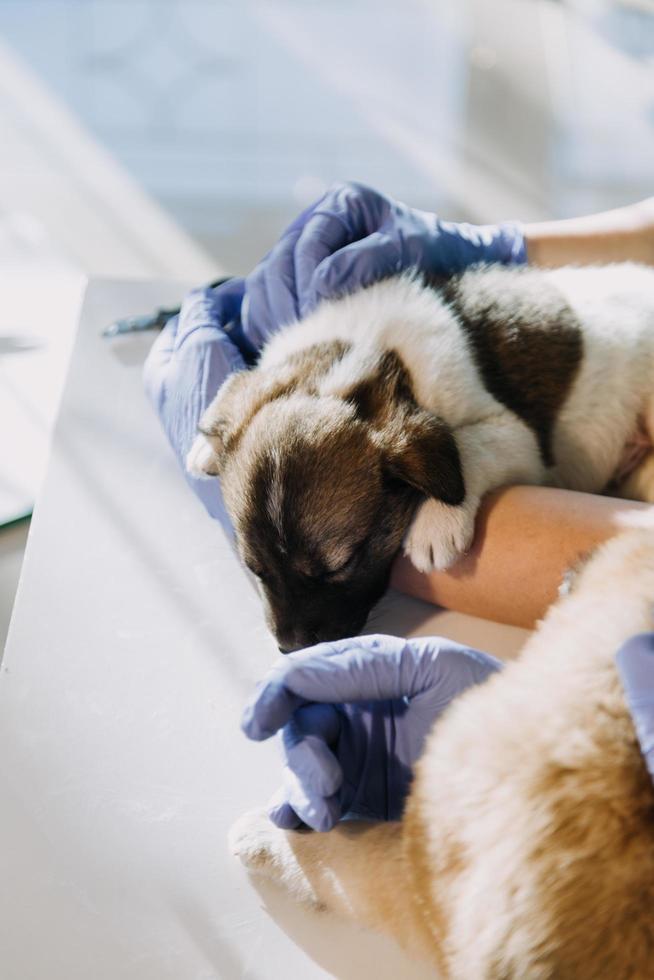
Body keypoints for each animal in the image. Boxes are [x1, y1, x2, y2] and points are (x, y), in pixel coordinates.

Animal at [187, 262, 654, 652]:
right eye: (256, 569)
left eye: (342, 565)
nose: (290, 648)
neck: (363, 360)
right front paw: (204, 445)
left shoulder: (515, 433)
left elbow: (466, 444)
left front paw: (436, 522)